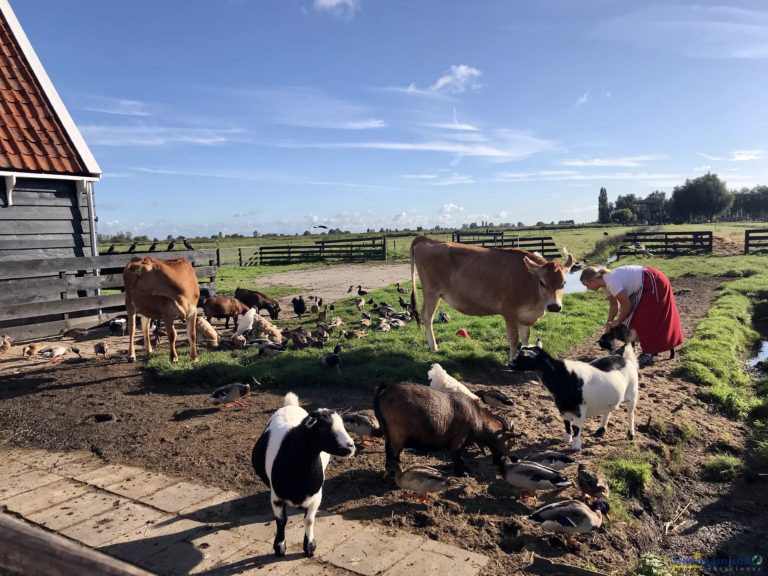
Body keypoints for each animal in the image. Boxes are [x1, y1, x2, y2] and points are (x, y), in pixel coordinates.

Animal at [255, 394, 356, 556]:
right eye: (322, 427)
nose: (351, 446)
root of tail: (290, 405)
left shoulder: (316, 497)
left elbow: (309, 520)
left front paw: (309, 547)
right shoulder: (276, 497)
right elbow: (281, 521)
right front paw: (279, 547)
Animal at [374, 382, 516, 476]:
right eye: (509, 443)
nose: (500, 462)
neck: (477, 418)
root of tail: (383, 394)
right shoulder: (459, 438)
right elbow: (456, 455)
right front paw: (461, 472)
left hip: (389, 432)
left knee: (389, 450)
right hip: (398, 434)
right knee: (393, 452)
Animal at [412, 236, 572, 358]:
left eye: (564, 282)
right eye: (542, 282)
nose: (554, 306)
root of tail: (428, 240)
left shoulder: (525, 316)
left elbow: (525, 337)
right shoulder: (510, 312)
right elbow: (514, 339)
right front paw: (512, 360)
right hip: (431, 292)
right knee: (427, 316)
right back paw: (434, 347)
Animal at [510, 342, 640, 450]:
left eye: (524, 357)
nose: (509, 364)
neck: (563, 376)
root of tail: (624, 358)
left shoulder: (579, 409)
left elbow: (576, 427)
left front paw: (576, 447)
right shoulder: (563, 407)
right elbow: (566, 423)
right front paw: (566, 439)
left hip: (632, 392)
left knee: (631, 414)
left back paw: (630, 434)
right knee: (608, 410)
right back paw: (601, 430)